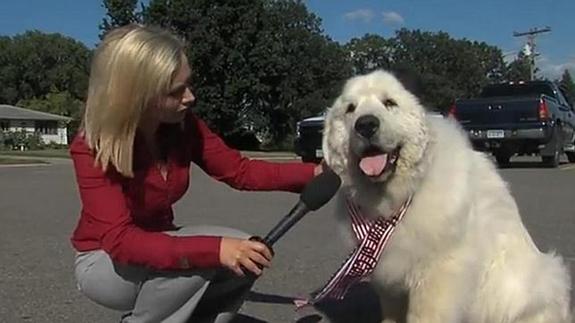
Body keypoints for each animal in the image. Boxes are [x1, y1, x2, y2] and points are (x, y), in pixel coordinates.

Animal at [322, 69, 572, 322]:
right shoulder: (391, 275)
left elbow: (423, 315)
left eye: (389, 103)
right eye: (350, 109)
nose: (365, 124)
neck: (403, 193)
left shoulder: (437, 274)